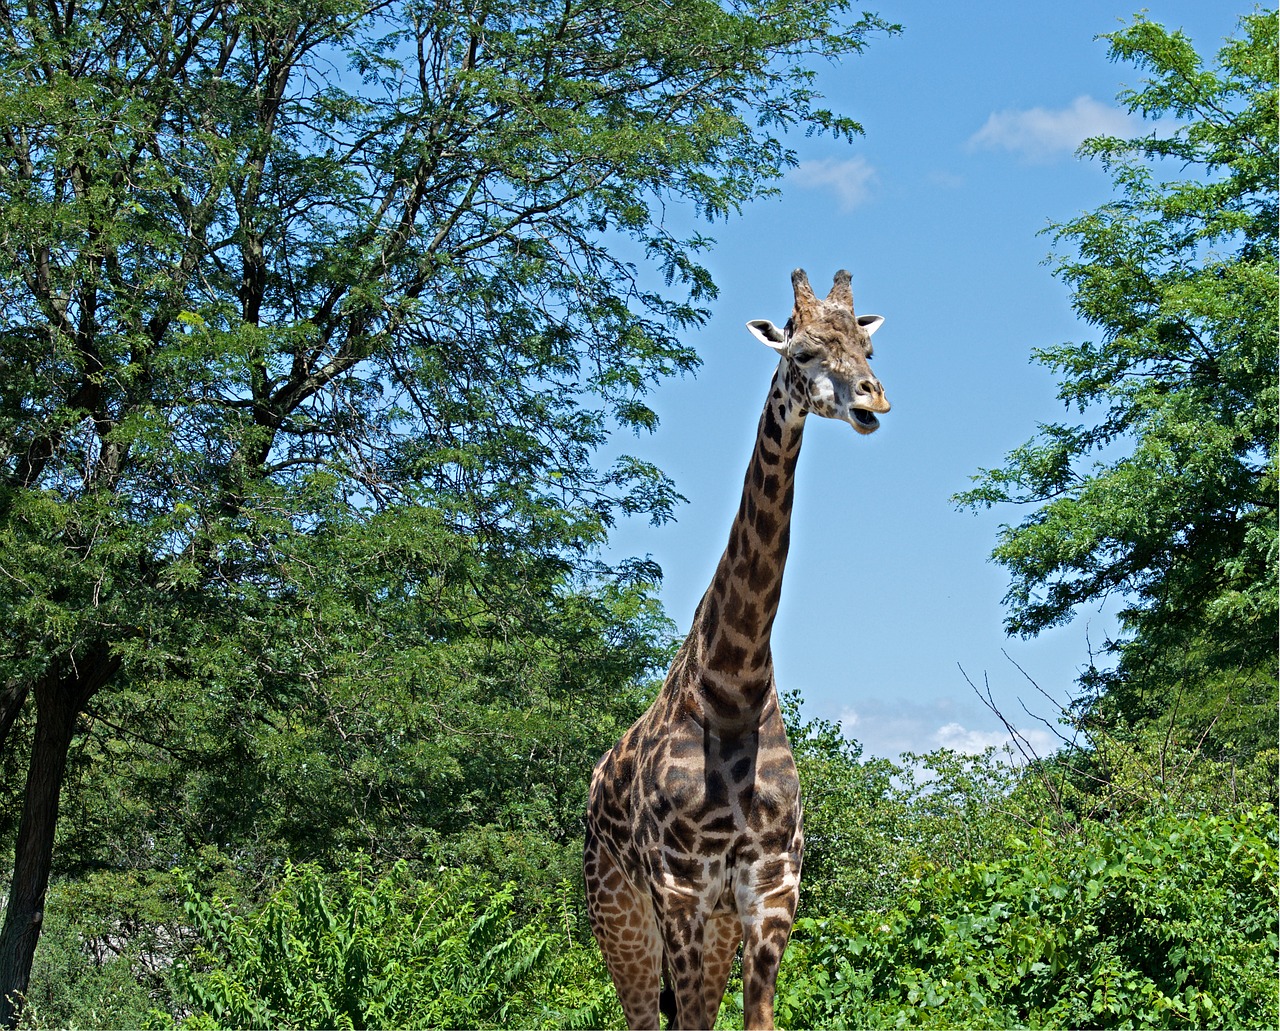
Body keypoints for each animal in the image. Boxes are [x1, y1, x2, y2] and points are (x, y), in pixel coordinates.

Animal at [586, 268, 885, 1024]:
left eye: (866, 346)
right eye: (803, 351)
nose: (872, 397)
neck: (733, 687)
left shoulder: (771, 891)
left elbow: (758, 1018)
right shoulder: (682, 889)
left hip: (712, 924)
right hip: (618, 911)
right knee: (640, 1014)